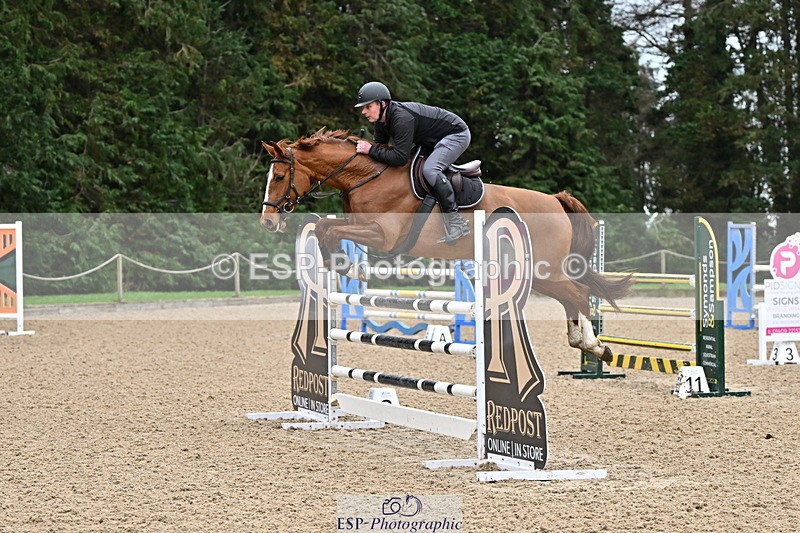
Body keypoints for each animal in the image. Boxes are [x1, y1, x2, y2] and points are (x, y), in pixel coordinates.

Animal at [259, 128, 631, 362]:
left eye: (279, 177)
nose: (267, 221)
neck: (366, 176)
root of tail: (555, 200)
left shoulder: (383, 235)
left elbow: (329, 229)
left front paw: (346, 266)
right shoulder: (359, 225)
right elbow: (326, 228)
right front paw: (343, 264)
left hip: (545, 270)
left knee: (579, 293)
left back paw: (593, 345)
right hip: (541, 274)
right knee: (572, 296)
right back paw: (586, 344)